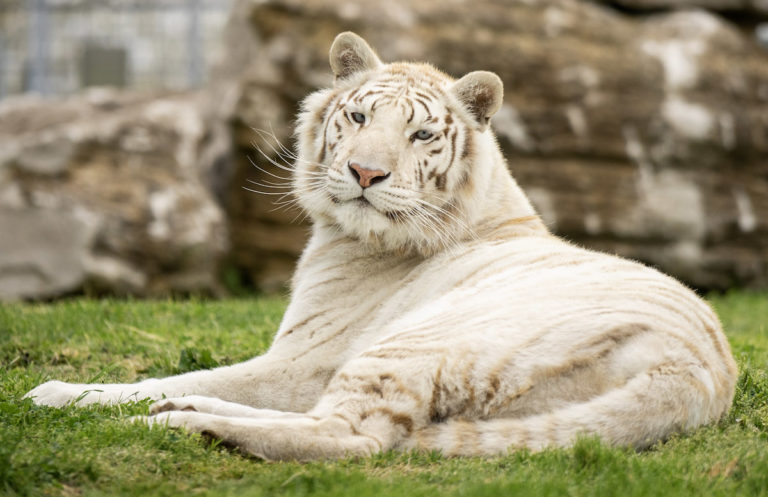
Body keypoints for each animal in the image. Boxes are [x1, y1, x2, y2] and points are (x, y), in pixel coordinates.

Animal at [27, 32, 736, 462]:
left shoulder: (301, 359)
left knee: (351, 438)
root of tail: (696, 371)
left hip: (412, 342)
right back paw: (187, 412)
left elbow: (172, 374)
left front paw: (56, 395)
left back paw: (176, 423)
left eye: (421, 134)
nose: (366, 173)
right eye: (359, 116)